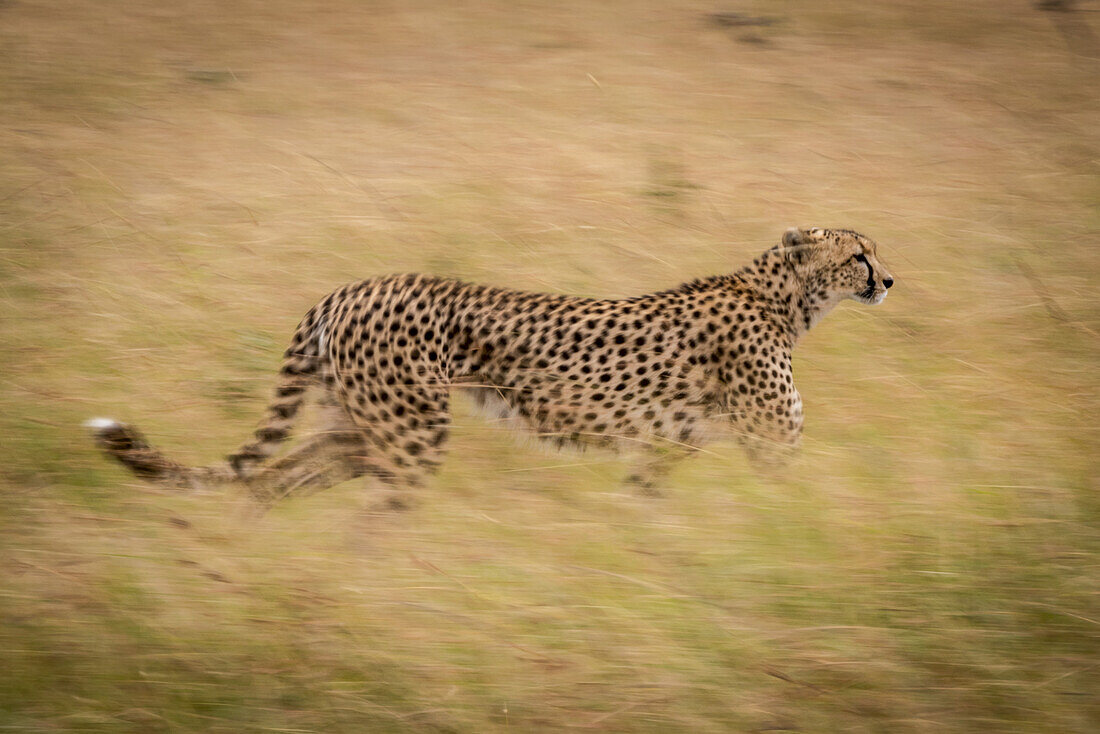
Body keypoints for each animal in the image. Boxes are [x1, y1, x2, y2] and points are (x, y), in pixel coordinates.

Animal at [85, 226, 893, 508]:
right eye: (859, 253)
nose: (889, 280)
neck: (782, 296)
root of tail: (351, 285)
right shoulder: (773, 443)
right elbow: (793, 508)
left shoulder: (658, 450)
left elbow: (646, 512)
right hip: (409, 434)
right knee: (373, 510)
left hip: (361, 428)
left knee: (276, 476)